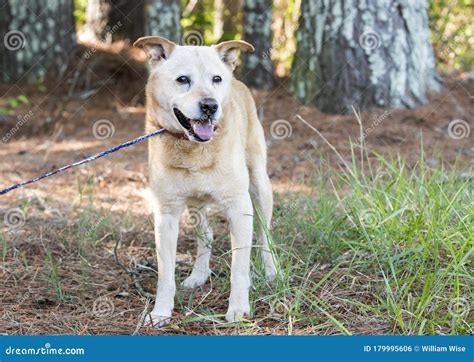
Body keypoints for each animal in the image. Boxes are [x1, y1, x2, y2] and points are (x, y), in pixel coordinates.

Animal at [133, 35, 276, 326]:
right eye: (183, 79)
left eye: (216, 79)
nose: (210, 106)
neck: (194, 149)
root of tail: (239, 81)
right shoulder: (166, 214)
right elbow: (165, 274)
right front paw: (161, 312)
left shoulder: (239, 207)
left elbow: (239, 269)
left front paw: (238, 309)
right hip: (195, 203)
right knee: (206, 234)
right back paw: (199, 274)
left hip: (260, 184)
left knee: (264, 233)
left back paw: (270, 271)